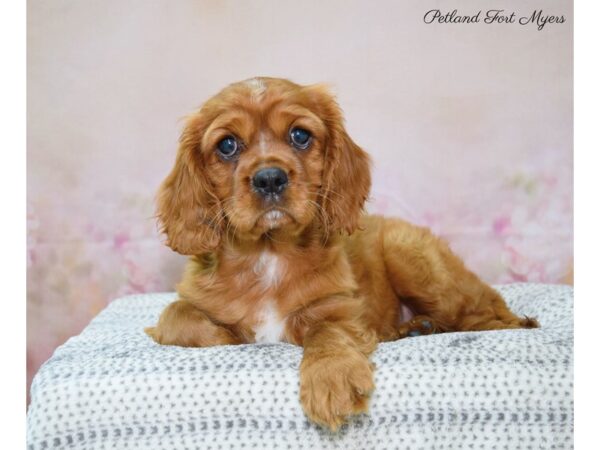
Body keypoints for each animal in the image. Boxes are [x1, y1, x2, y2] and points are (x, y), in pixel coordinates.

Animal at [146, 78, 540, 432]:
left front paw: (332, 379)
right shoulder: (190, 299)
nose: (270, 178)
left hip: (414, 260)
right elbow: (174, 316)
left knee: (489, 316)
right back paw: (414, 327)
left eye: (300, 135)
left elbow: (327, 332)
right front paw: (228, 336)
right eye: (227, 145)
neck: (268, 251)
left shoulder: (340, 306)